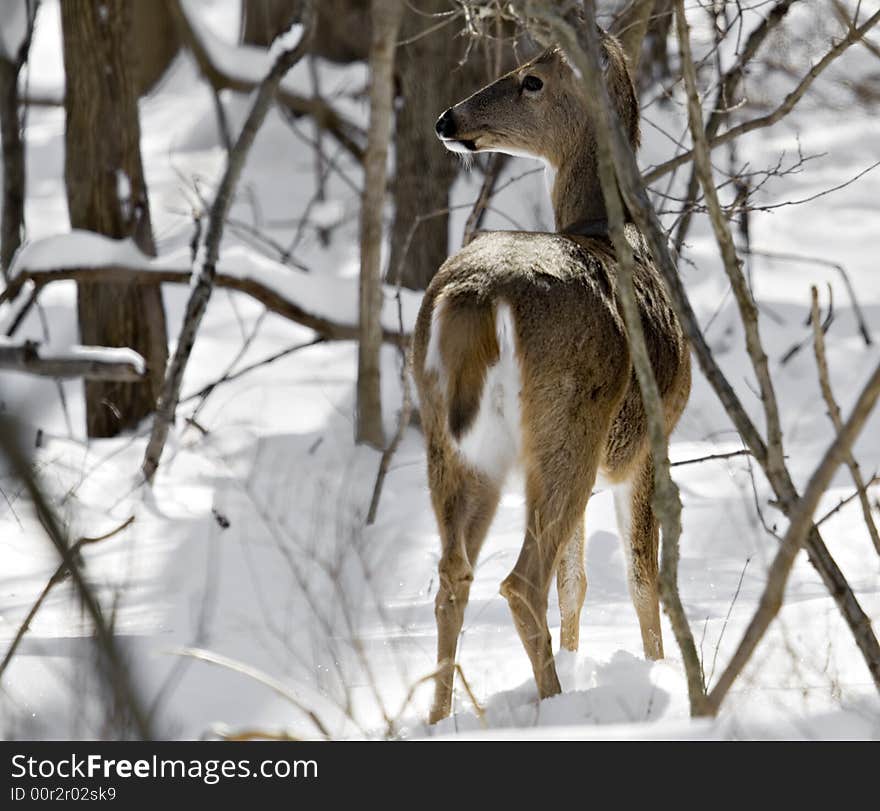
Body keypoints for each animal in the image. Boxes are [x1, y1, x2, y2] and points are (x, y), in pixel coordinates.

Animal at [410, 23, 692, 724]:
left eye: (530, 79)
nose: (448, 120)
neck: (606, 229)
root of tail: (479, 293)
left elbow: (578, 580)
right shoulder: (650, 436)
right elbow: (641, 574)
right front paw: (658, 669)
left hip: (448, 434)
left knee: (454, 574)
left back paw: (438, 717)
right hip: (571, 416)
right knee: (520, 581)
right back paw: (554, 701)